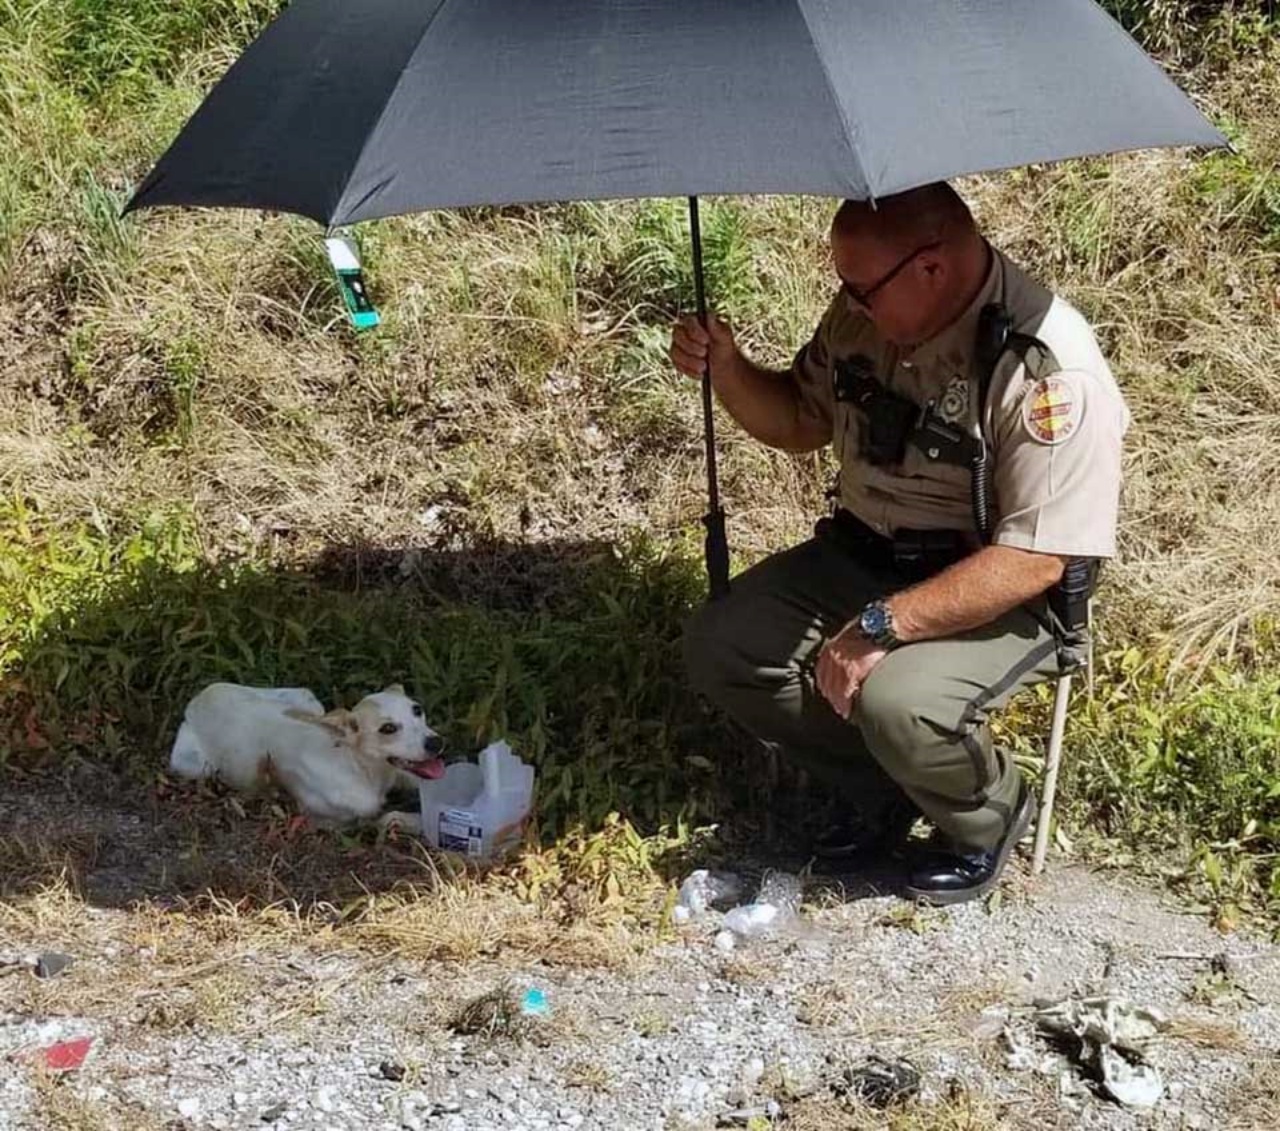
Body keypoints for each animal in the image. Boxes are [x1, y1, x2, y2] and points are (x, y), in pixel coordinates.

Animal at [168, 680, 445, 823]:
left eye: (417, 710)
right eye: (387, 728)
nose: (436, 743)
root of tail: (199, 699)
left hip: (305, 698)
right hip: (190, 765)